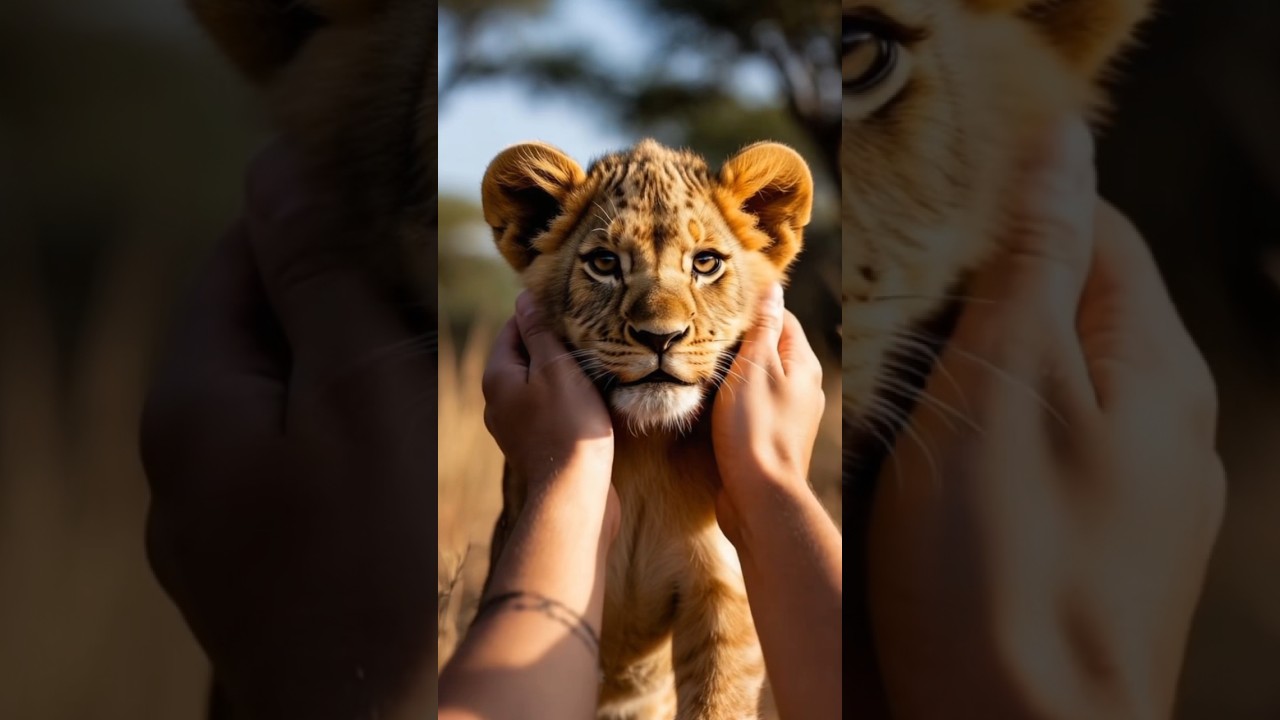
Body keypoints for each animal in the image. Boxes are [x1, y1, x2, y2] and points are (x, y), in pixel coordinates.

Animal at [478, 138, 813, 720]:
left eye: (705, 263)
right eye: (605, 263)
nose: (661, 337)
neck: (649, 447)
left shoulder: (724, 594)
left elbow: (718, 703)